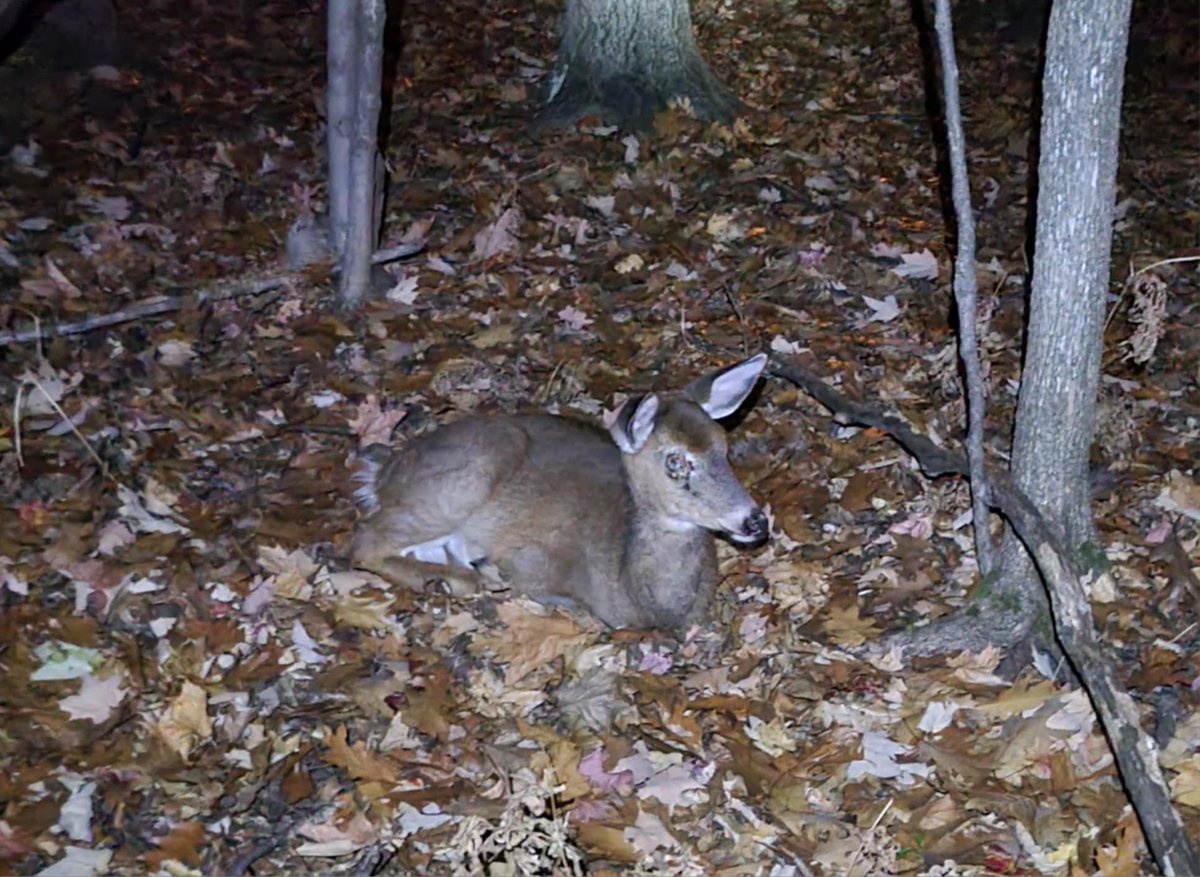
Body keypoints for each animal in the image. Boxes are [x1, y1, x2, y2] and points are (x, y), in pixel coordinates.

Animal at [349, 353, 769, 631]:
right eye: (676, 461)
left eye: (724, 446)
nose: (755, 521)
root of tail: (384, 471)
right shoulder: (531, 557)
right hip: (464, 481)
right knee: (362, 542)